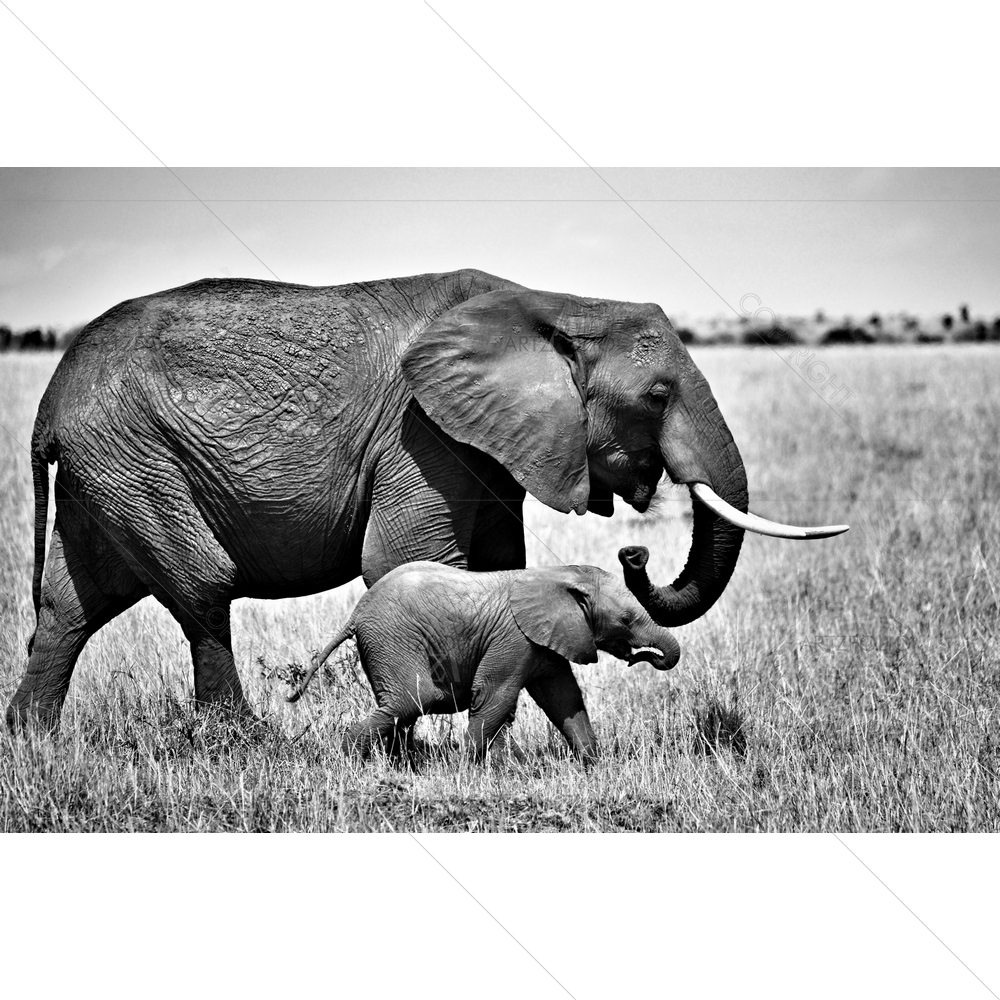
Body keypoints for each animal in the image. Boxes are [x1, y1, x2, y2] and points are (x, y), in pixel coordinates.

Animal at [7, 268, 847, 730]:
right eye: (658, 394)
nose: (635, 552)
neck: (555, 303)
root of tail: (49, 402)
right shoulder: (420, 430)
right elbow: (407, 562)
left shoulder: (490, 443)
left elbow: (505, 567)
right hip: (134, 455)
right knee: (202, 586)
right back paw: (241, 741)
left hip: (108, 468)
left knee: (71, 604)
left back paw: (32, 740)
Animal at [286, 555, 681, 764]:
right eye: (626, 620)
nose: (639, 657)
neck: (560, 574)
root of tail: (356, 613)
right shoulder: (514, 639)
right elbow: (494, 696)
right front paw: (467, 769)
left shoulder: (546, 641)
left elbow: (563, 697)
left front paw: (592, 764)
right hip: (392, 637)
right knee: (414, 699)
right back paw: (349, 760)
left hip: (383, 643)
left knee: (401, 704)